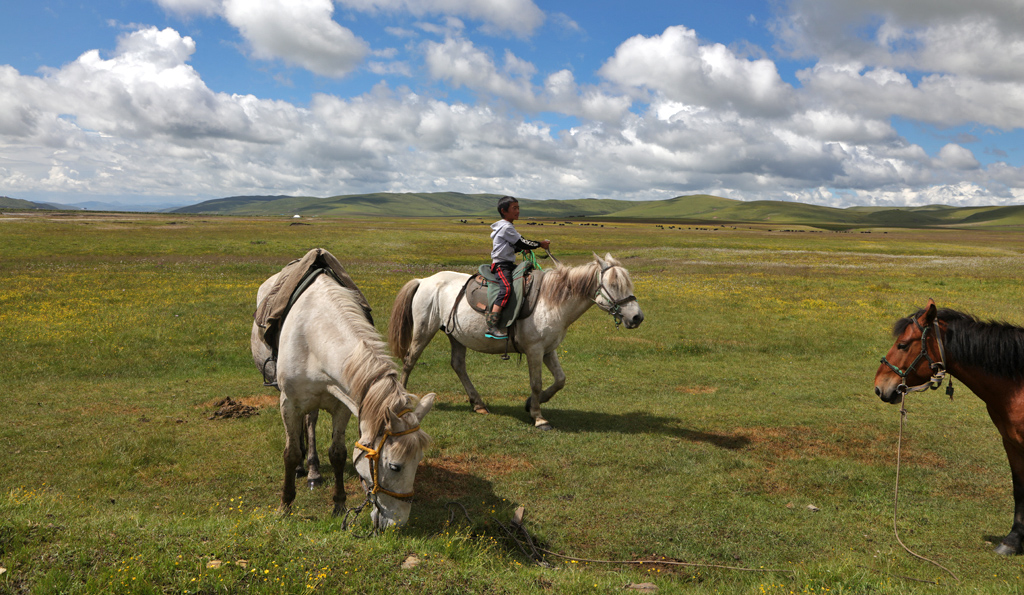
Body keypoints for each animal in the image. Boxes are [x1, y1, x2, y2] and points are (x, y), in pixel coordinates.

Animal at [254, 270, 436, 528]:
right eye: (395, 466)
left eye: (419, 461)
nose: (397, 524)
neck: (315, 337)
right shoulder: (288, 403)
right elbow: (290, 453)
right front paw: (285, 505)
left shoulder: (342, 405)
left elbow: (337, 453)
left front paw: (339, 504)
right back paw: (303, 469)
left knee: (310, 421)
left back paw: (313, 471)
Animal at [387, 252, 643, 430]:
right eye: (614, 285)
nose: (637, 317)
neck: (552, 301)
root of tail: (424, 280)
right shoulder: (535, 350)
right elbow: (536, 383)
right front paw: (539, 418)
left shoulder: (549, 349)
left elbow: (560, 380)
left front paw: (531, 404)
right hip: (424, 330)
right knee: (410, 360)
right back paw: (403, 400)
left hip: (455, 334)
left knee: (458, 364)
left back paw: (478, 404)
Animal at [872, 299, 1024, 553]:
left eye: (903, 345)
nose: (878, 387)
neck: (1018, 386)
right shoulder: (1011, 443)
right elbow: (1019, 489)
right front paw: (1013, 540)